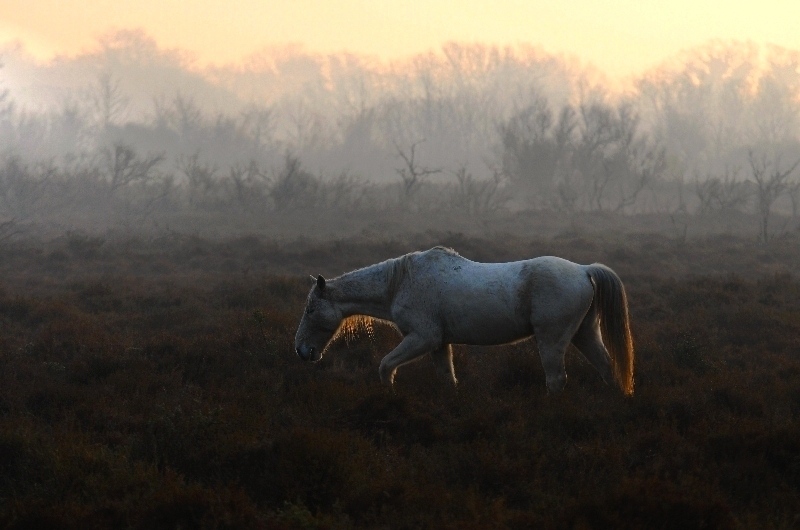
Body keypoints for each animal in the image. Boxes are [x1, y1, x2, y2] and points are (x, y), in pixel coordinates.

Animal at [290, 246, 636, 392]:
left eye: (310, 310)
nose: (302, 351)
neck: (400, 282)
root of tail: (584, 270)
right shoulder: (439, 344)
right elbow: (448, 379)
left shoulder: (422, 338)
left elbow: (386, 367)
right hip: (584, 334)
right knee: (608, 368)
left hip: (552, 340)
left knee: (556, 379)